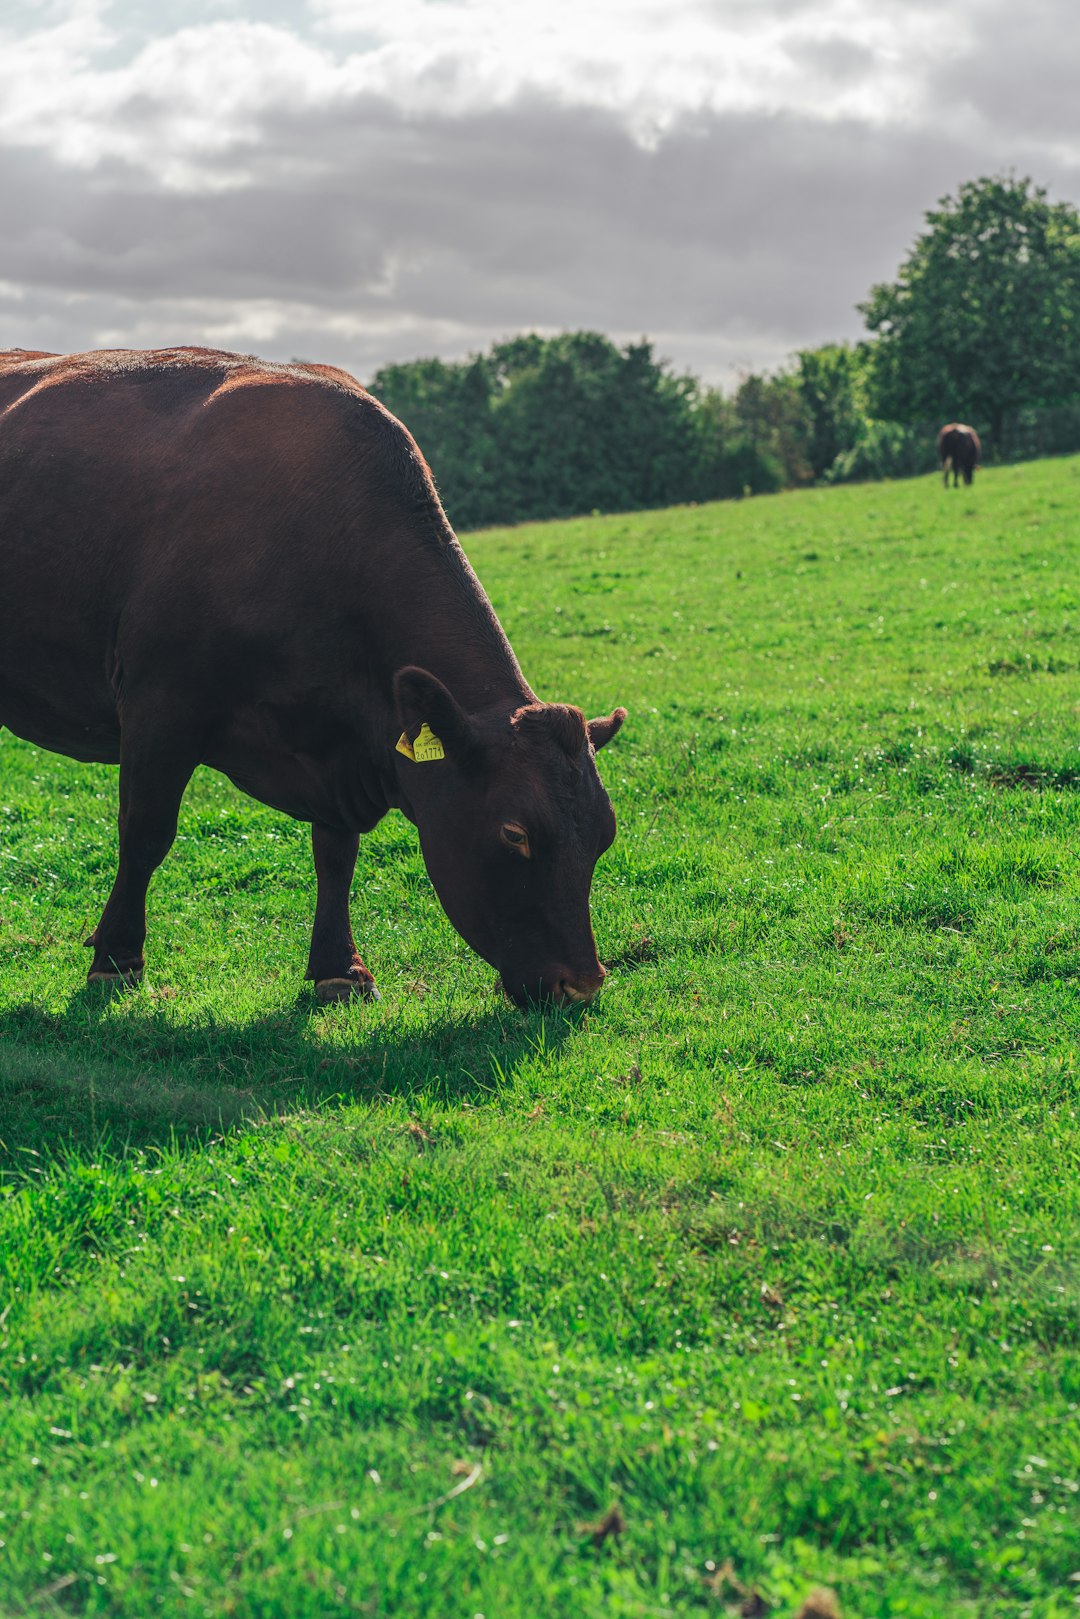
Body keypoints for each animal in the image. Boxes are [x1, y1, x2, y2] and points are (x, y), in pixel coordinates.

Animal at [0, 348, 628, 1003]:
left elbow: (336, 852)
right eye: (514, 833)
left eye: (605, 834)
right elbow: (145, 833)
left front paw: (338, 967)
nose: (583, 984)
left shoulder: (343, 740)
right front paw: (116, 958)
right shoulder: (159, 706)